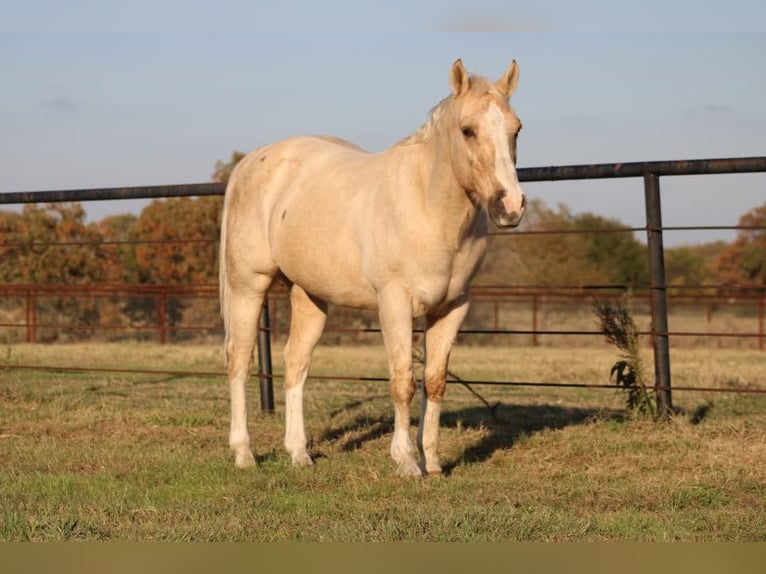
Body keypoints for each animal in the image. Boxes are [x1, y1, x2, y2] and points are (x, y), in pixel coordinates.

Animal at [219, 60, 524, 480]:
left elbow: (435, 382)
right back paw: (244, 453)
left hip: (309, 295)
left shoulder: (453, 307)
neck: (428, 206)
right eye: (467, 130)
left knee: (296, 363)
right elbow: (402, 381)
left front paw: (433, 463)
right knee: (239, 361)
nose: (510, 206)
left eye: (517, 128)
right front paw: (406, 461)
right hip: (249, 286)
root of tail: (251, 162)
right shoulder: (394, 302)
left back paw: (299, 454)